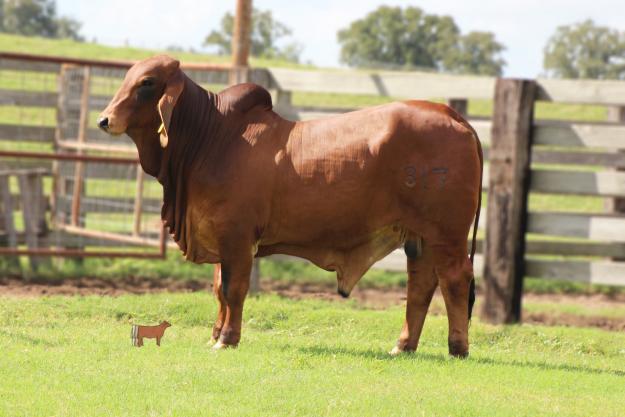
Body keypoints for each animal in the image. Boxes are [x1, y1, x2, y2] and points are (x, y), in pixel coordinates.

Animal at [99, 55, 483, 358]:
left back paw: (458, 347)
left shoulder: (237, 238)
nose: (104, 120)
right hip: (419, 236)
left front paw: (227, 339)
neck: (211, 137)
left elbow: (233, 289)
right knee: (420, 285)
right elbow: (219, 290)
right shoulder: (221, 236)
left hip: (447, 234)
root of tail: (453, 115)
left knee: (455, 279)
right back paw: (403, 346)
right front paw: (214, 335)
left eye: (147, 83)